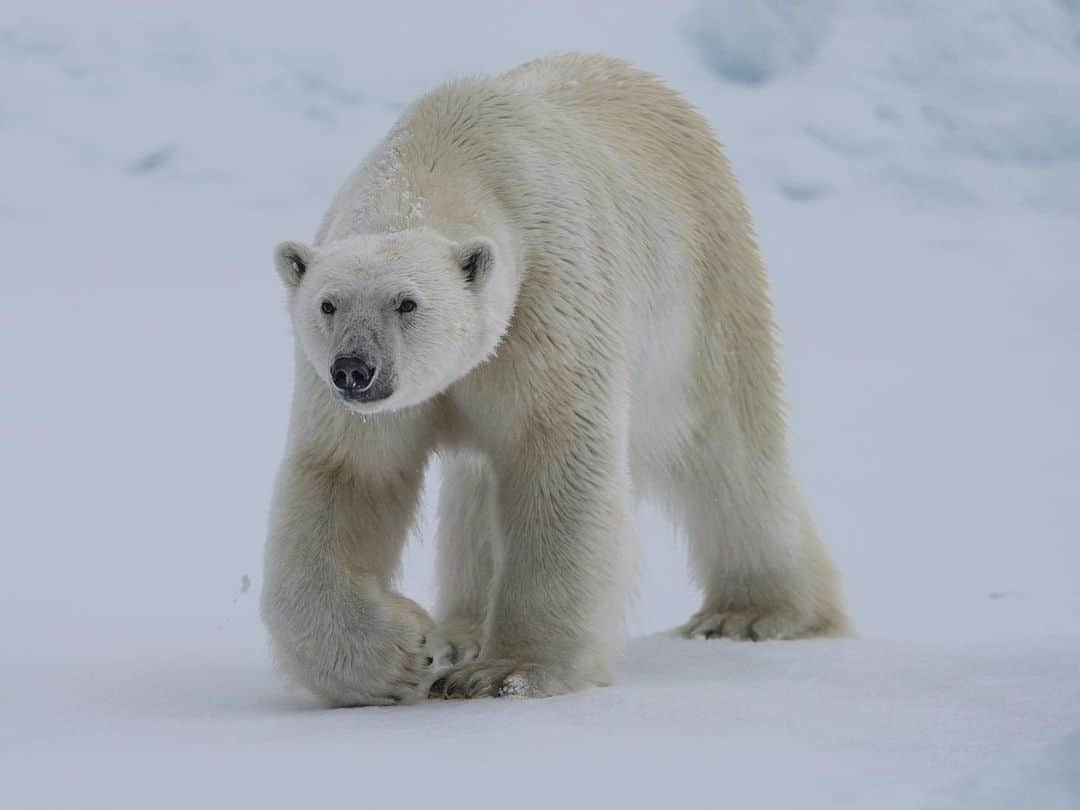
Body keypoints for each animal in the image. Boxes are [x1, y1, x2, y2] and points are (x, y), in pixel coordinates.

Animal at [259, 52, 842, 708]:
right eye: (328, 304)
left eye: (407, 303)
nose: (355, 370)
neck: (444, 157)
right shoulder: (357, 395)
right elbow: (349, 475)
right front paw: (400, 655)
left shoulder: (548, 301)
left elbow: (556, 457)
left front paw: (503, 672)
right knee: (473, 491)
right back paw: (461, 630)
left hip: (705, 291)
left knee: (729, 451)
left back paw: (754, 613)